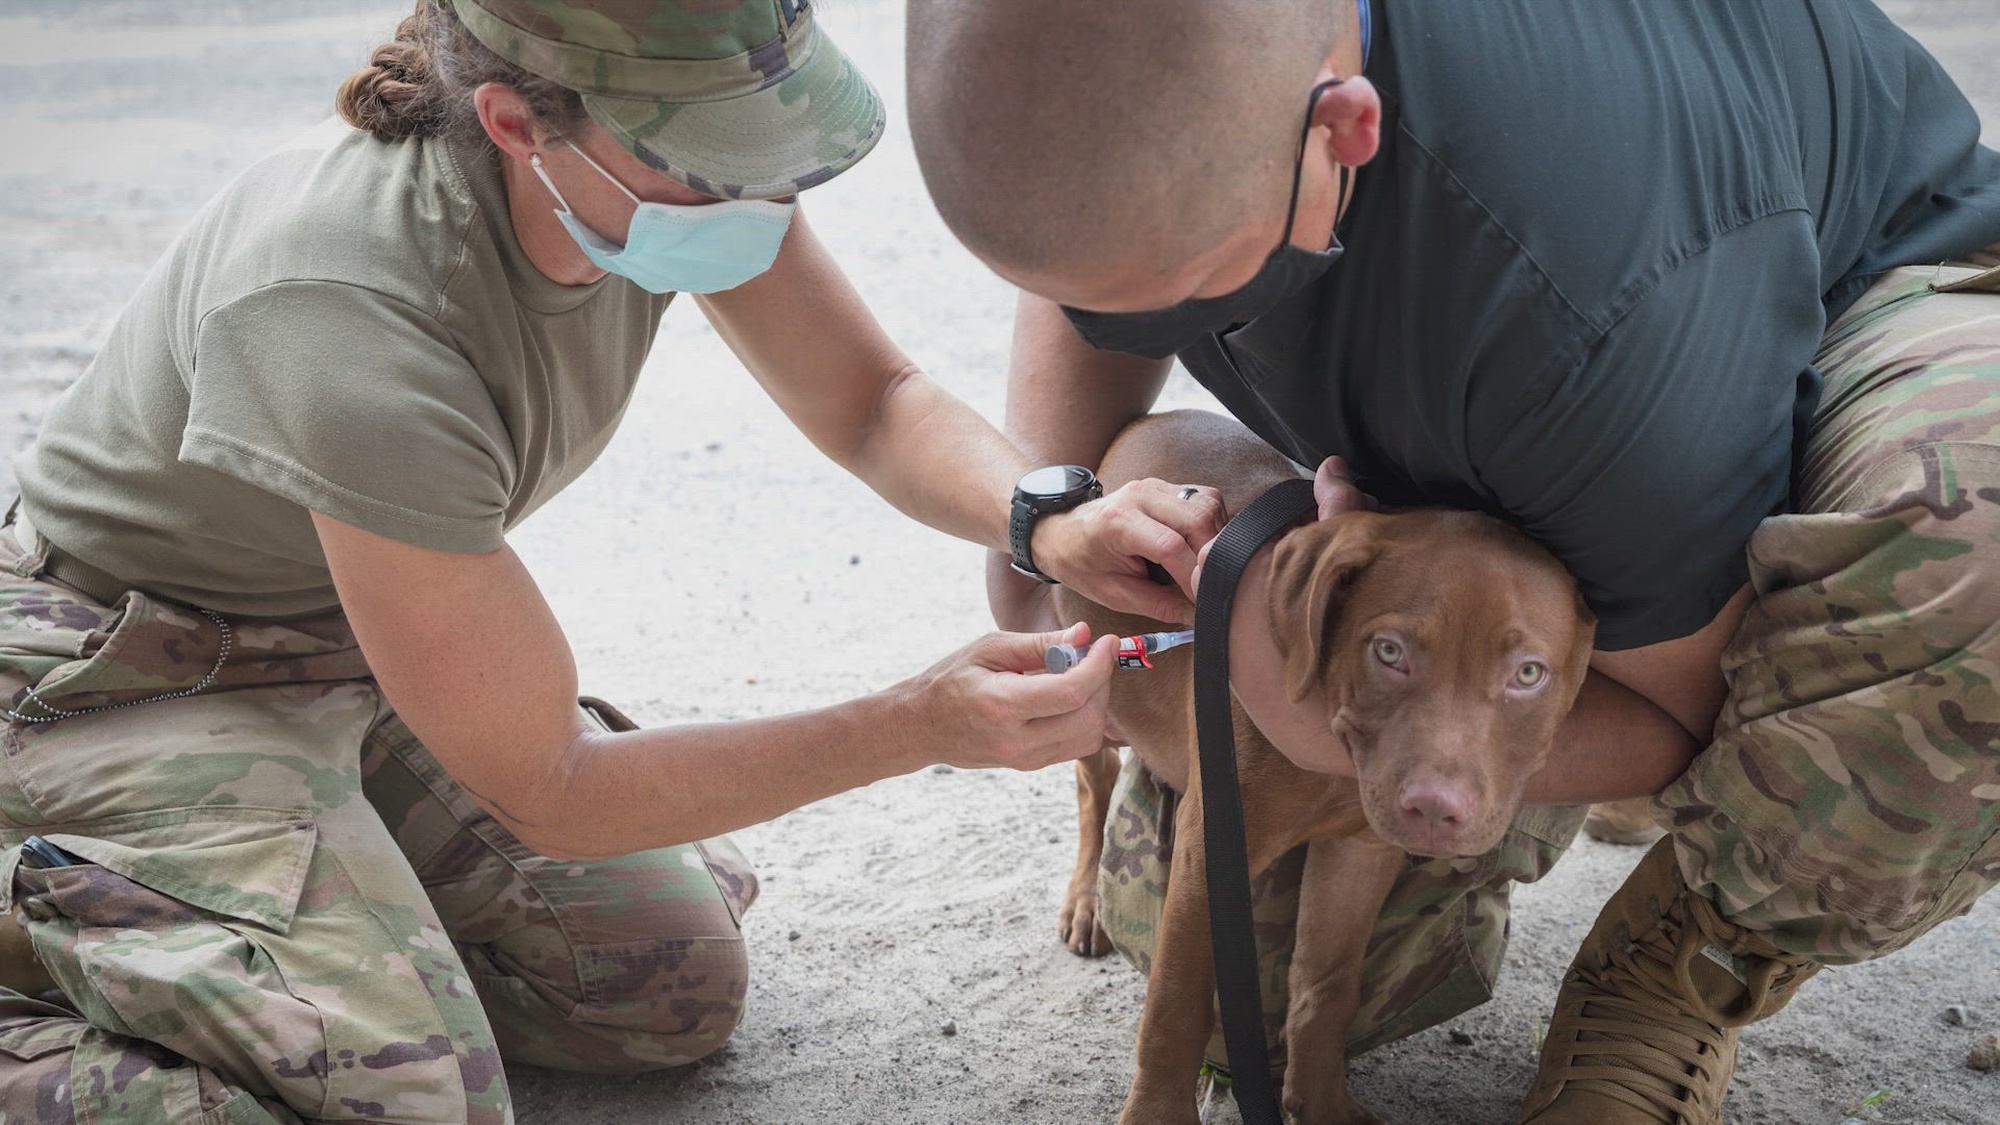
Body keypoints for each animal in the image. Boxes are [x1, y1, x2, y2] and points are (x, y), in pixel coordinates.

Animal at [1048, 412, 1592, 1120]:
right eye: (1387, 651)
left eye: (1529, 674)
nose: (1434, 810)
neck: (1333, 750)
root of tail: (1148, 418)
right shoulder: (1211, 845)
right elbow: (1177, 1004)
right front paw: (1156, 1114)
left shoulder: (1362, 850)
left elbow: (1328, 987)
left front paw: (1322, 1104)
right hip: (1086, 672)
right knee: (1093, 781)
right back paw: (1087, 900)